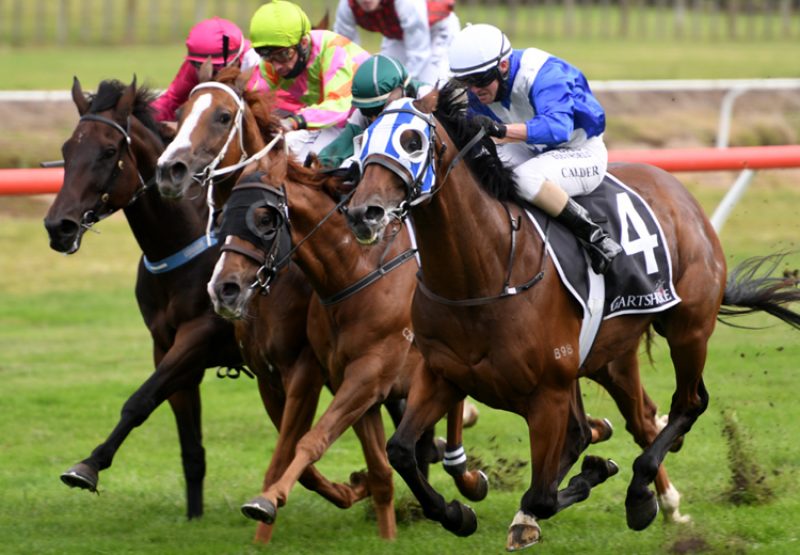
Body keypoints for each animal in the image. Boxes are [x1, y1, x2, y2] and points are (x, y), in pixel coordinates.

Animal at [46, 78, 376, 540]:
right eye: (67, 149)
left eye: (109, 151)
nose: (58, 226)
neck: (188, 246)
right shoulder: (165, 345)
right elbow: (181, 434)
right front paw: (193, 516)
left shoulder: (202, 335)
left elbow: (140, 398)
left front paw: (88, 466)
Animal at [155, 67, 494, 540]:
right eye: (183, 111)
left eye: (222, 116)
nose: (170, 169)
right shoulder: (275, 374)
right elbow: (312, 457)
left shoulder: (314, 370)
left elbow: (302, 444)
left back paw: (467, 474)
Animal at [346, 89, 800, 548]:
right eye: (363, 138)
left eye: (412, 141)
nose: (363, 212)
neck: (482, 276)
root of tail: (680, 193)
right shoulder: (443, 375)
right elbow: (401, 451)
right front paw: (457, 514)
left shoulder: (547, 392)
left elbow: (544, 493)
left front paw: (593, 481)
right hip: (606, 356)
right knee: (625, 420)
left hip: (687, 329)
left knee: (688, 402)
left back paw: (641, 494)